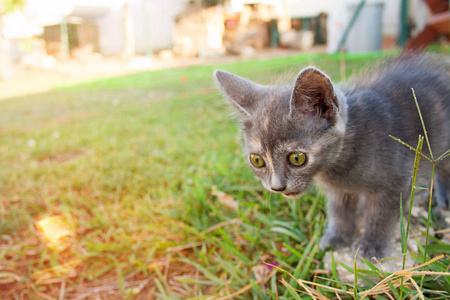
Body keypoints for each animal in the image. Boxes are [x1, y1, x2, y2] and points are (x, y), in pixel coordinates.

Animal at [214, 53, 450, 258]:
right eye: (257, 160)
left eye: (297, 158)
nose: (277, 187)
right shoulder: (339, 191)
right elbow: (340, 211)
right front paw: (338, 236)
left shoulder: (397, 179)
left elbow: (382, 215)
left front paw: (372, 244)